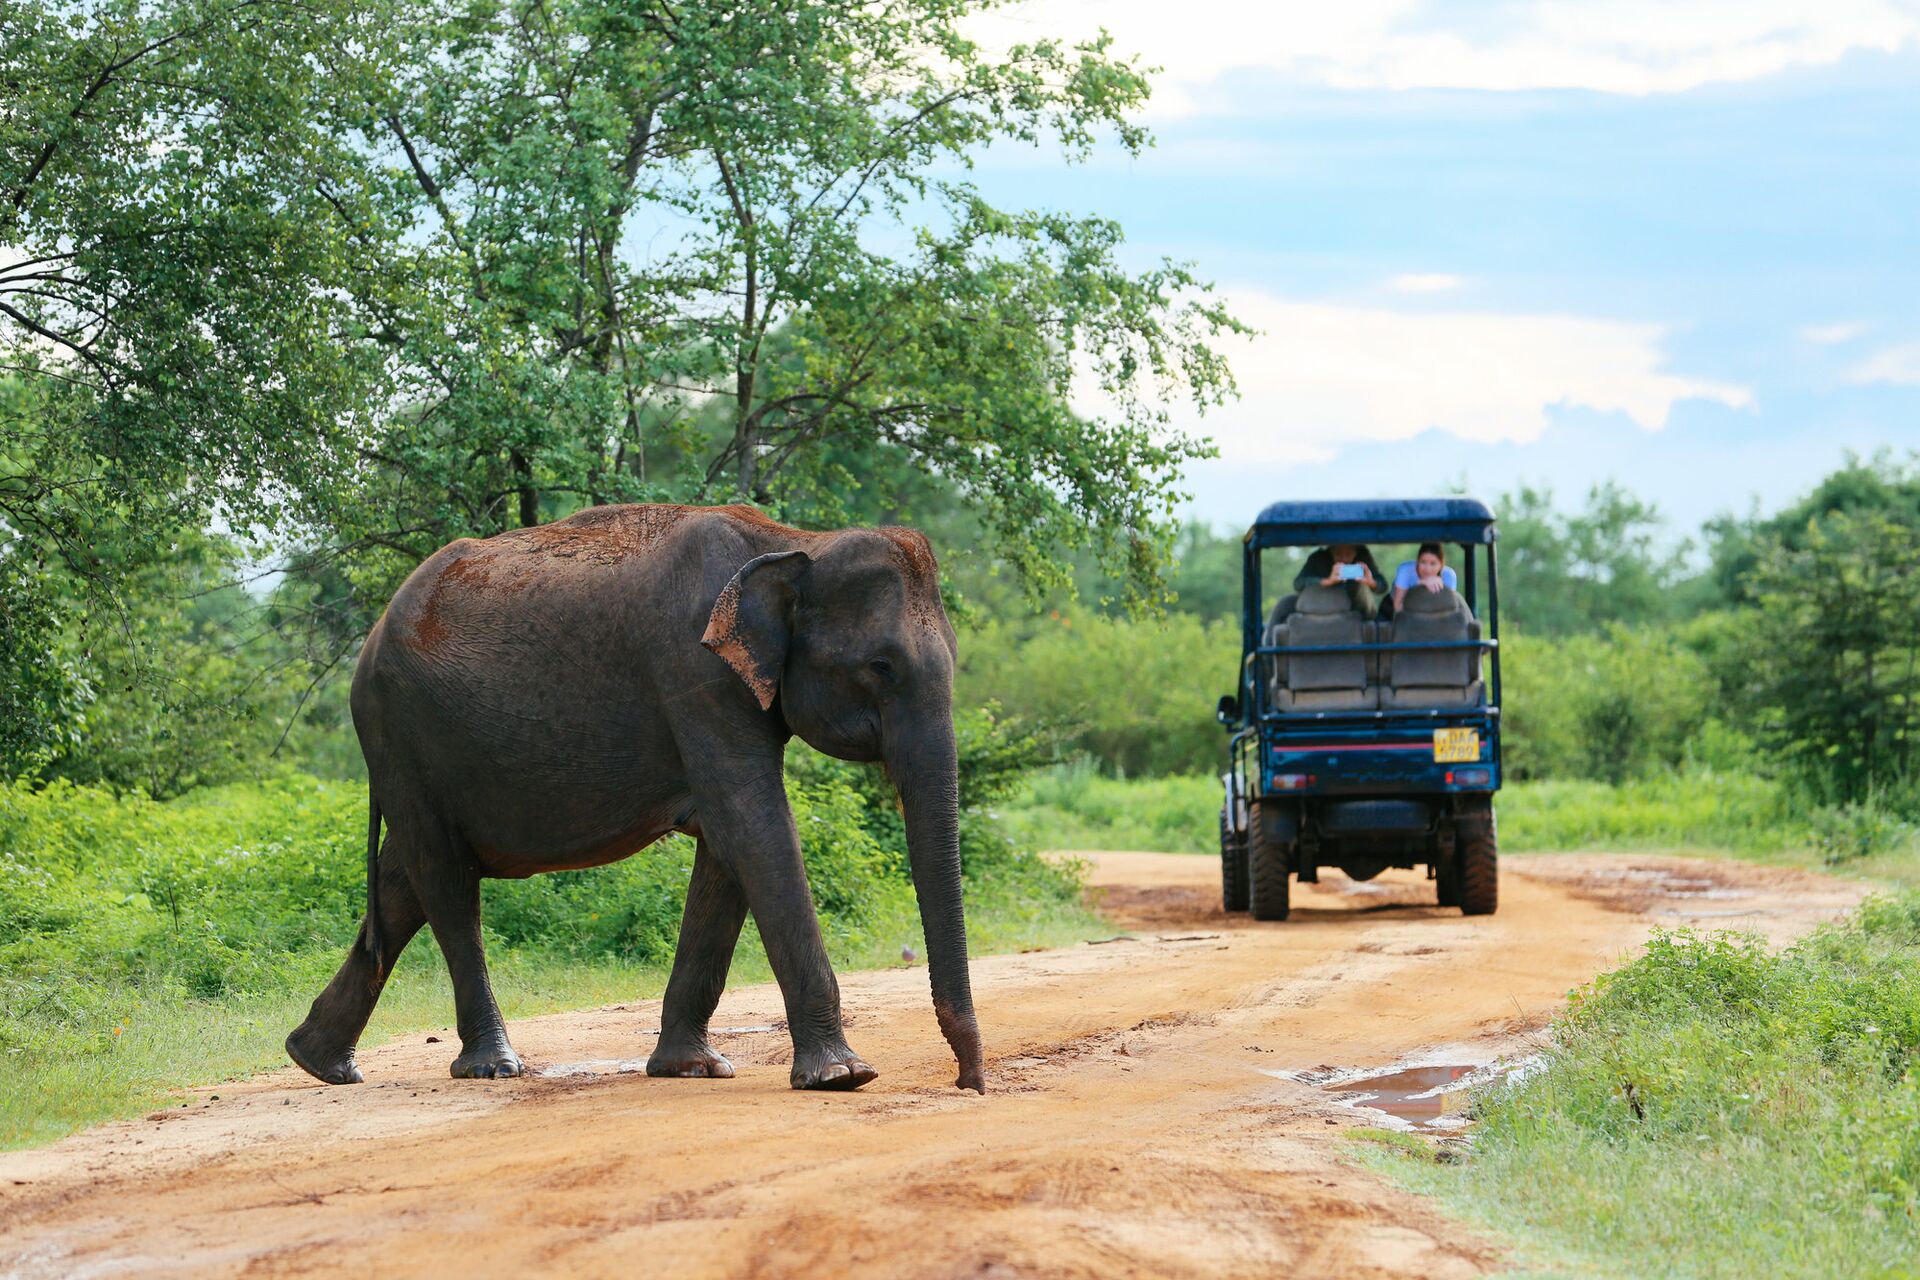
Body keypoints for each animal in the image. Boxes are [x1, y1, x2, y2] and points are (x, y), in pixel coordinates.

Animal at [280, 506, 990, 1097]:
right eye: (881, 667)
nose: (969, 1085)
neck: (795, 540)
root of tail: (376, 630)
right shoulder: (692, 671)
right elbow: (752, 824)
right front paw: (843, 1078)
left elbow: (728, 847)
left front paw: (691, 1069)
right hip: (396, 727)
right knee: (445, 880)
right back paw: (491, 1067)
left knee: (406, 876)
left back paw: (319, 1063)